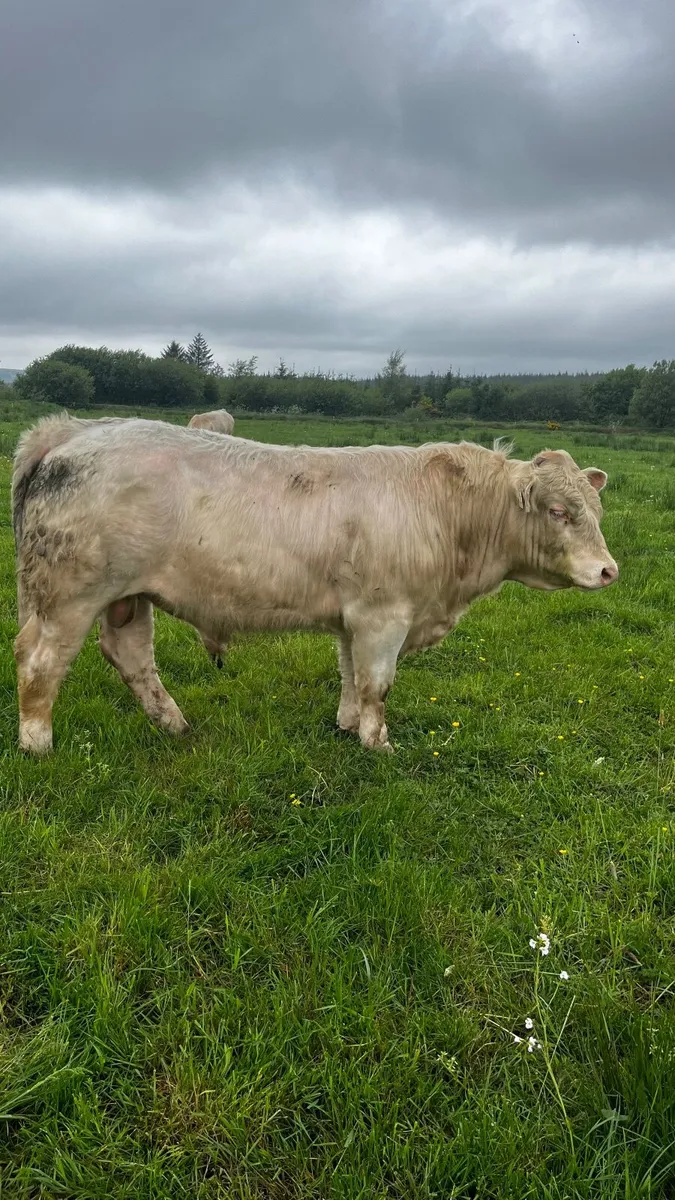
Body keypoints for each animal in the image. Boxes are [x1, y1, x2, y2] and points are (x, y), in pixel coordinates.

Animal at [12, 414, 618, 755]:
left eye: (596, 509)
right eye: (559, 511)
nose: (608, 570)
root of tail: (75, 432)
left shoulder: (354, 617)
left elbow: (350, 675)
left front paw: (348, 727)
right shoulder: (383, 617)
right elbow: (377, 684)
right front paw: (378, 745)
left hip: (128, 597)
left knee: (131, 656)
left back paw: (175, 725)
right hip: (68, 595)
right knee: (39, 662)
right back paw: (37, 743)